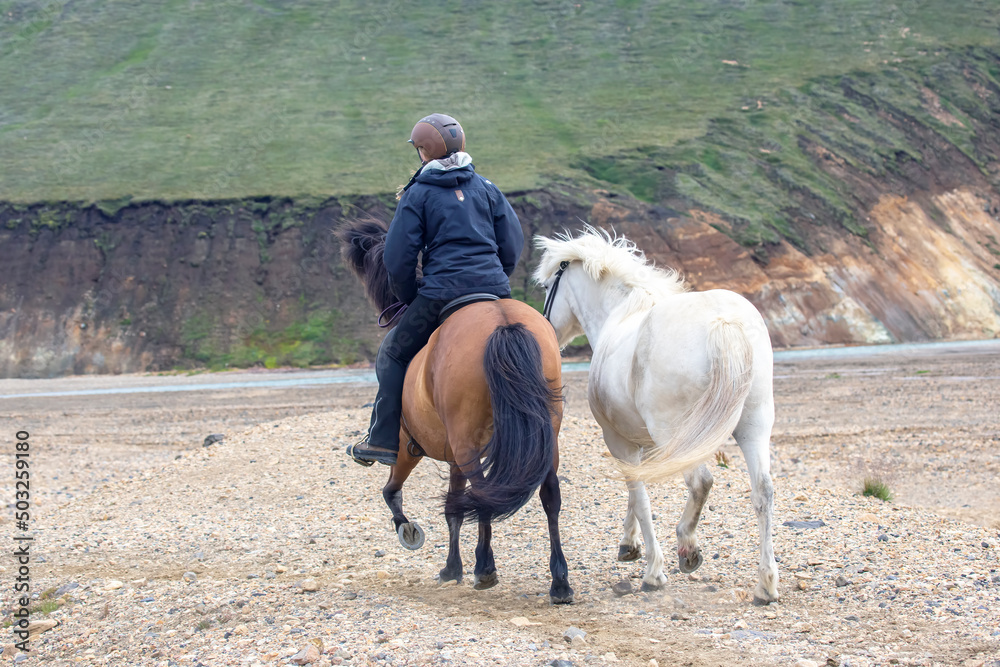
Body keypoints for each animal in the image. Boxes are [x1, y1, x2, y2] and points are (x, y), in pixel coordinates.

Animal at [337, 217, 574, 604]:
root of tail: (502, 321)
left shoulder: (408, 447)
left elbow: (395, 493)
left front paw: (414, 535)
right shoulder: (454, 456)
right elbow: (454, 510)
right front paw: (453, 567)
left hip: (462, 444)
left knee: (483, 495)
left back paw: (486, 568)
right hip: (543, 437)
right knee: (548, 494)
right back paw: (560, 582)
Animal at [533, 227, 779, 604]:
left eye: (547, 287)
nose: (547, 330)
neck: (620, 313)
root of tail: (722, 321)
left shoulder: (618, 440)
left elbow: (640, 495)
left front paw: (652, 569)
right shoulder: (642, 442)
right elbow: (636, 495)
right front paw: (629, 545)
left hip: (676, 433)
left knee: (701, 482)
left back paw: (687, 546)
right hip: (754, 425)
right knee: (763, 490)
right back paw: (766, 583)